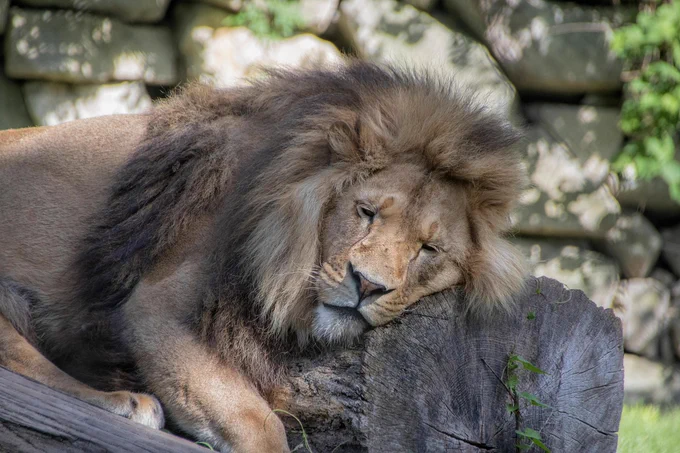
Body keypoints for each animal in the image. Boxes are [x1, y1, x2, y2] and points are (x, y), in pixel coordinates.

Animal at [0, 61, 526, 451]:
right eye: (366, 212)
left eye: (428, 249)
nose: (367, 285)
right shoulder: (155, 305)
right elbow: (256, 419)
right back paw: (126, 401)